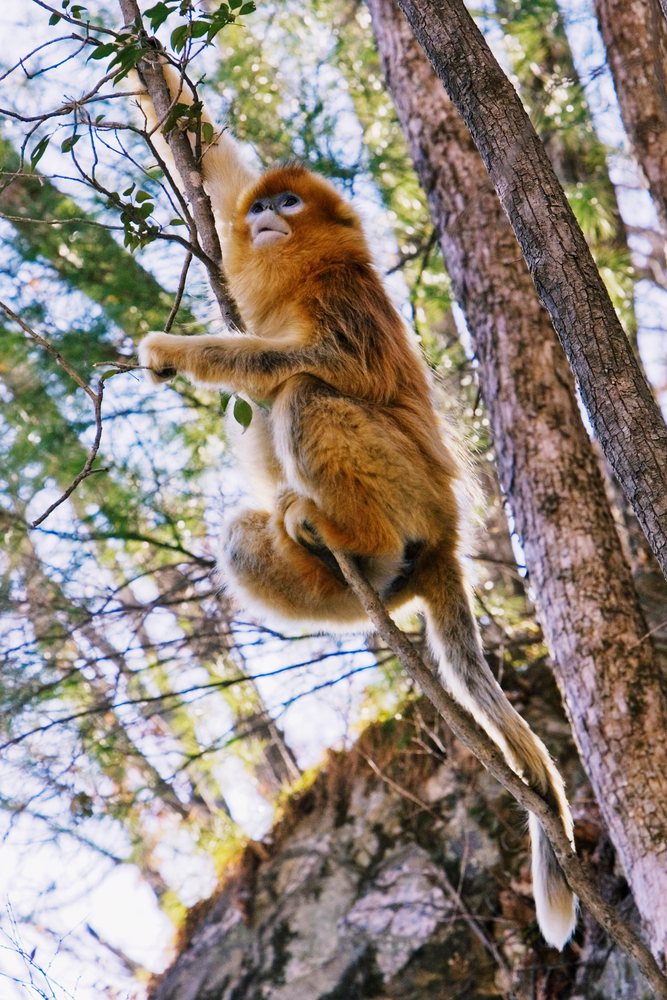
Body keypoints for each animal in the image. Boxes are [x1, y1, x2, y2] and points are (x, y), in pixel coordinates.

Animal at [134, 64, 577, 949]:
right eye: (262, 203)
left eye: (289, 203)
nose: (264, 217)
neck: (305, 267)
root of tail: (444, 536)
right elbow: (207, 152)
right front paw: (149, 71)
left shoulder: (343, 298)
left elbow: (313, 363)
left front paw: (173, 352)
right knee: (244, 534)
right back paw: (351, 572)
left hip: (404, 485)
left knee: (306, 395)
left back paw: (355, 540)